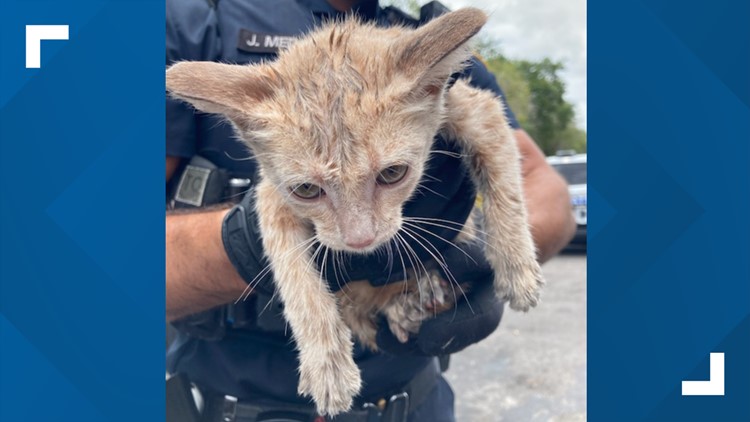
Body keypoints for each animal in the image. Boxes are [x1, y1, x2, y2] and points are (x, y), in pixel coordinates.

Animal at [167, 9, 544, 416]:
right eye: (307, 190)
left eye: (393, 173)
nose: (360, 239)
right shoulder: (270, 195)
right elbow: (294, 275)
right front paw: (327, 365)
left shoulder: (475, 107)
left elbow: (507, 184)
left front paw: (517, 268)